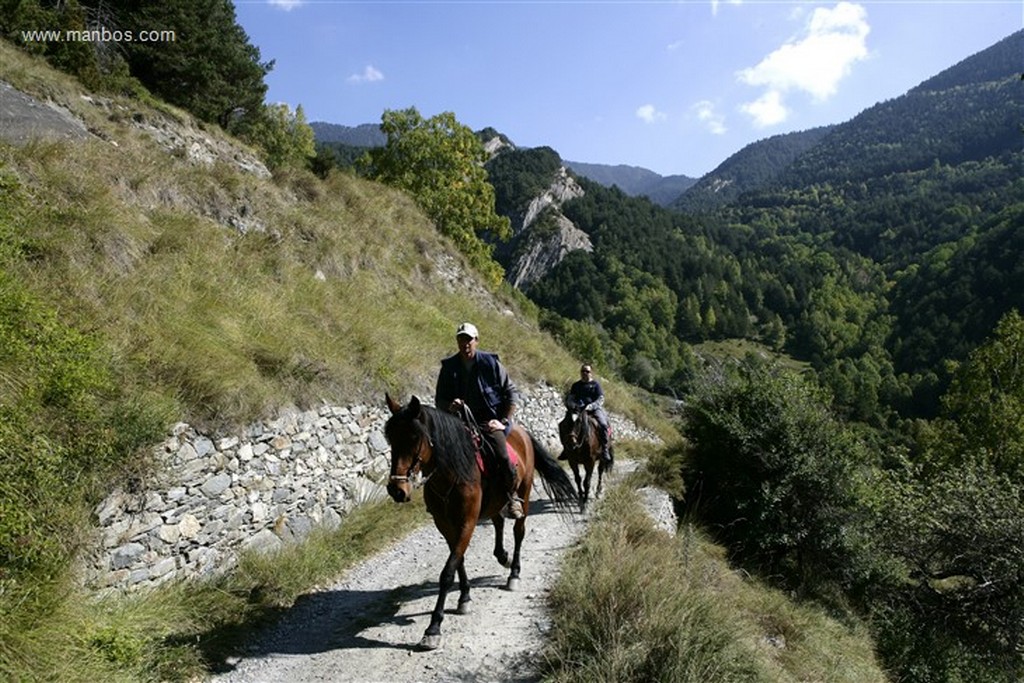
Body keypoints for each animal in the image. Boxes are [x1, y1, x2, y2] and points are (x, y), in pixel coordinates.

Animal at [385, 393, 581, 651]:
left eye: (414, 438)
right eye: (390, 437)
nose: (397, 490)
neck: (453, 471)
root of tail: (523, 433)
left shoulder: (467, 522)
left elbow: (448, 571)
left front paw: (433, 628)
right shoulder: (444, 525)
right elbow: (458, 561)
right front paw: (465, 597)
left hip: (525, 494)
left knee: (519, 532)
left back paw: (513, 573)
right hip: (494, 503)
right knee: (498, 523)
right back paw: (503, 557)